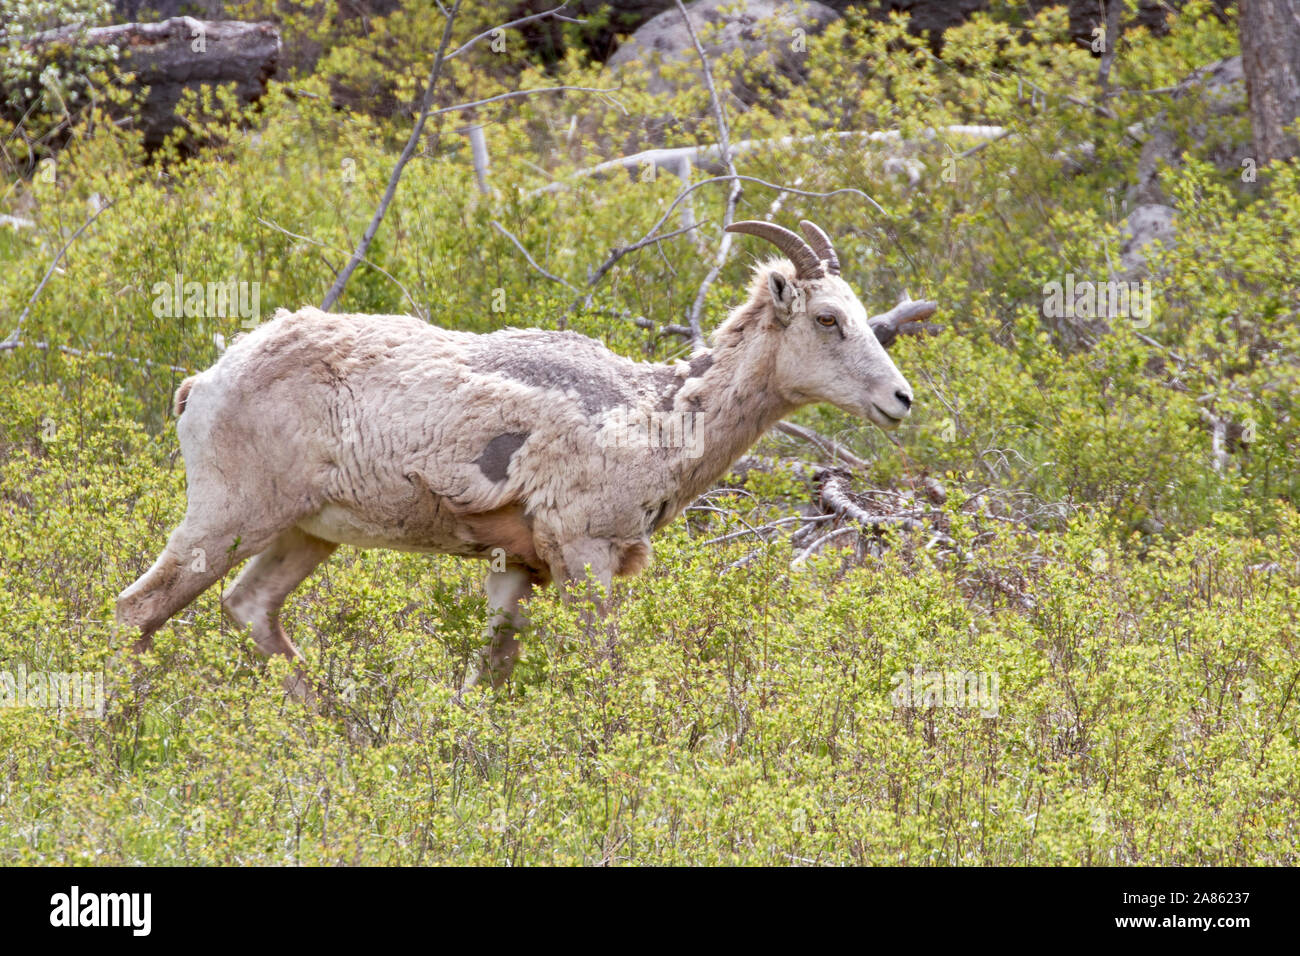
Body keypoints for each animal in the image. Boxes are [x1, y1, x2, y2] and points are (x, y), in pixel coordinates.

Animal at [111, 221, 925, 691]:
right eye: (828, 319)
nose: (900, 400)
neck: (658, 417)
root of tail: (203, 383)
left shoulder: (518, 569)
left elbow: (487, 676)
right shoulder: (587, 553)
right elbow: (603, 665)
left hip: (304, 534)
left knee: (249, 610)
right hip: (228, 517)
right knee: (137, 610)